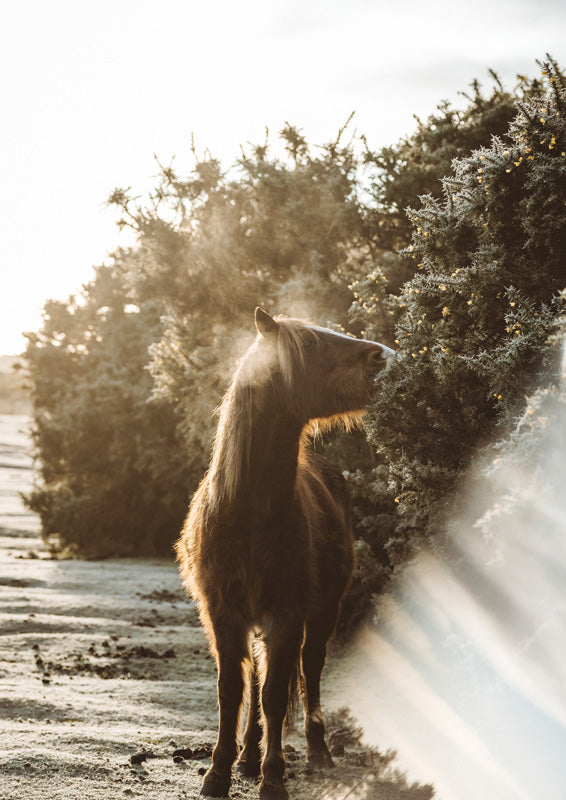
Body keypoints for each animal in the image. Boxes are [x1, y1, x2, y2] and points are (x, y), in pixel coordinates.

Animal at [176, 307, 394, 800]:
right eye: (310, 343)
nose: (383, 356)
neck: (247, 511)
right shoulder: (224, 615)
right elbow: (232, 692)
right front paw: (219, 771)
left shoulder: (287, 614)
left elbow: (275, 694)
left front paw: (273, 777)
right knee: (258, 678)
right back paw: (246, 756)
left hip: (324, 611)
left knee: (310, 670)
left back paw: (317, 752)